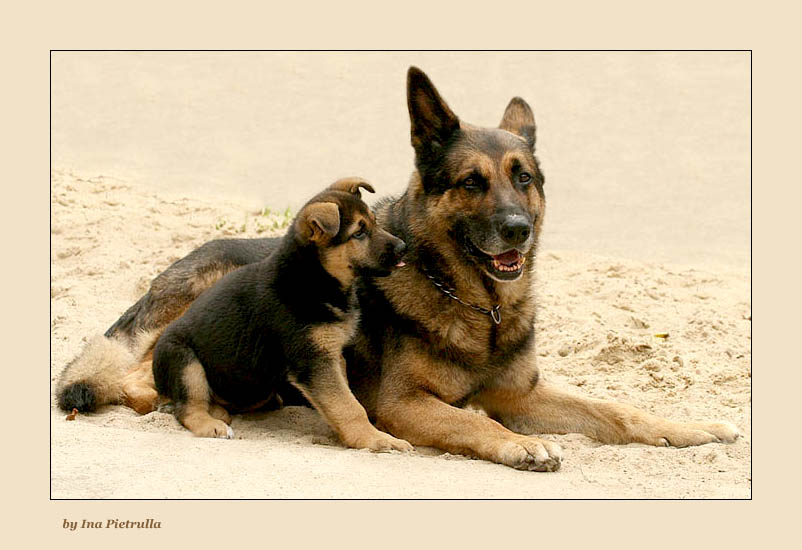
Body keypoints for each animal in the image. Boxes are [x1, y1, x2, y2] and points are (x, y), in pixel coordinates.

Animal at [149, 178, 410, 452]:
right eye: (359, 233)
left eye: (374, 222)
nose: (404, 247)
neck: (311, 278)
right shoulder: (314, 360)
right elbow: (348, 405)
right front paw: (377, 439)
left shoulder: (332, 354)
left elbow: (342, 400)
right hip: (185, 361)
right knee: (187, 408)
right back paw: (212, 424)